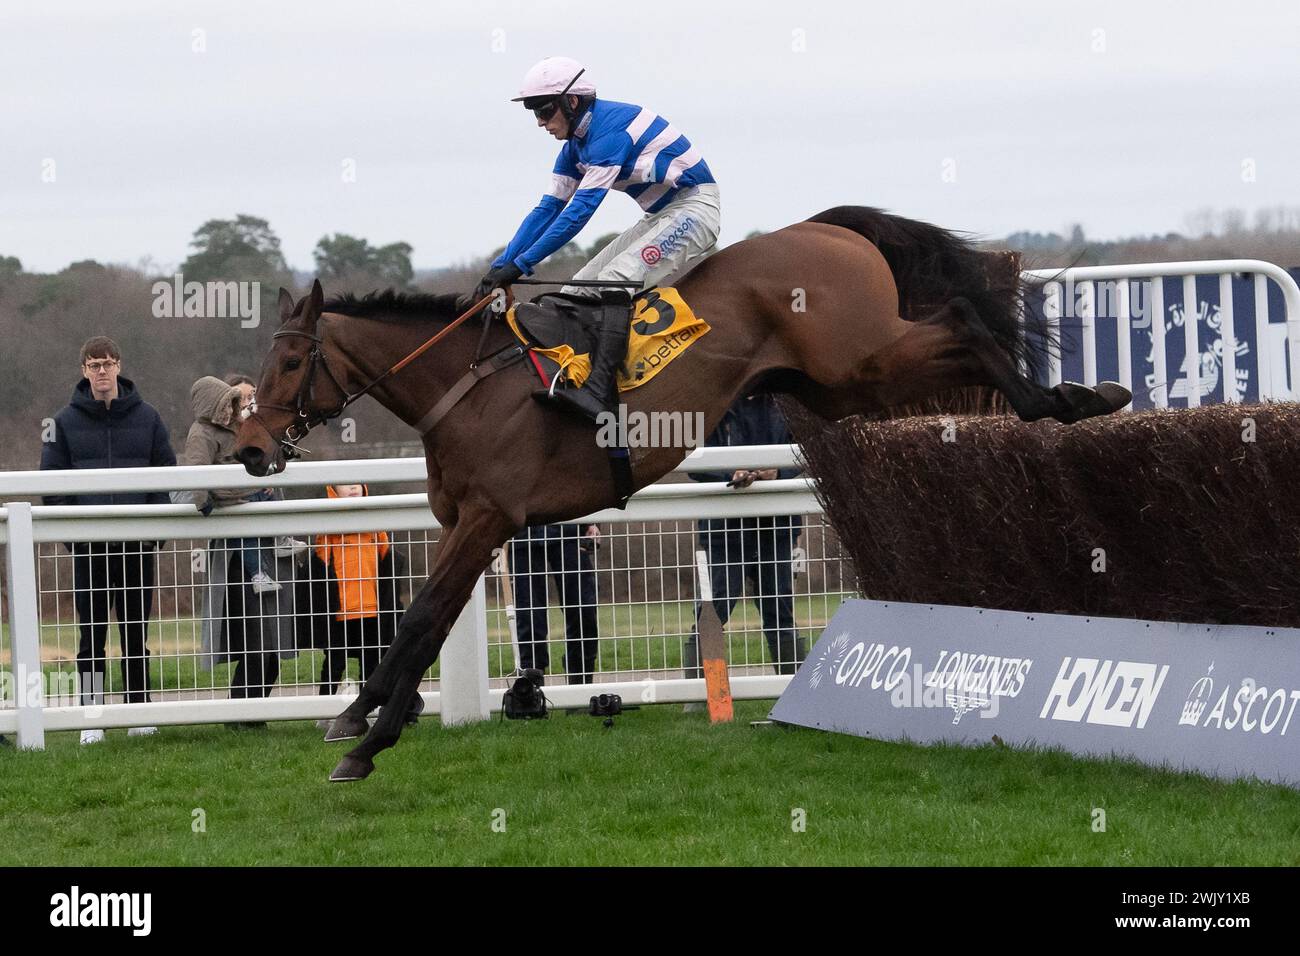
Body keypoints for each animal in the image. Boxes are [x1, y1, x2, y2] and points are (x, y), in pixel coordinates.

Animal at [233, 205, 1128, 780]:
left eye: (290, 362)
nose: (248, 449)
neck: (468, 386)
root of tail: (827, 225)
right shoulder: (469, 525)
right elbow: (424, 624)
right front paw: (361, 717)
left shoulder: (490, 517)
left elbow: (420, 619)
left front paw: (362, 742)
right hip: (838, 382)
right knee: (956, 336)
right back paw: (1078, 397)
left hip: (858, 356)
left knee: (966, 323)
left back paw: (1068, 400)